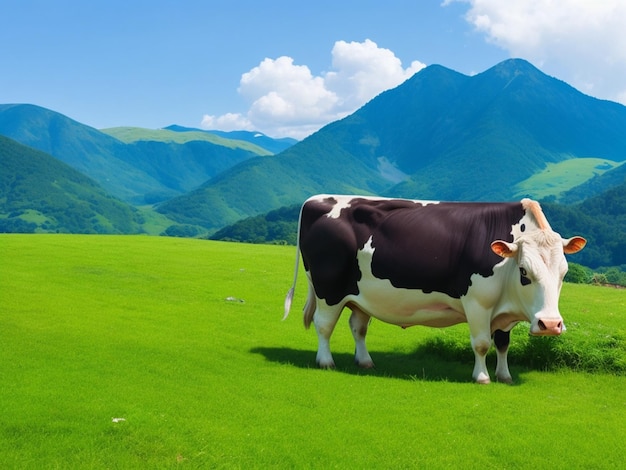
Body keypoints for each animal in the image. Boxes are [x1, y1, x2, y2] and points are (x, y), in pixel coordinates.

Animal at [282, 195, 584, 382]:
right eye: (524, 272)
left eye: (564, 273)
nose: (550, 324)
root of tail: (316, 200)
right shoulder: (478, 302)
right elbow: (482, 343)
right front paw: (482, 377)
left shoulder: (502, 311)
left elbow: (502, 344)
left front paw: (504, 376)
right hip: (328, 288)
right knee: (323, 324)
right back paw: (325, 361)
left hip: (360, 295)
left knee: (358, 327)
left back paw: (365, 361)